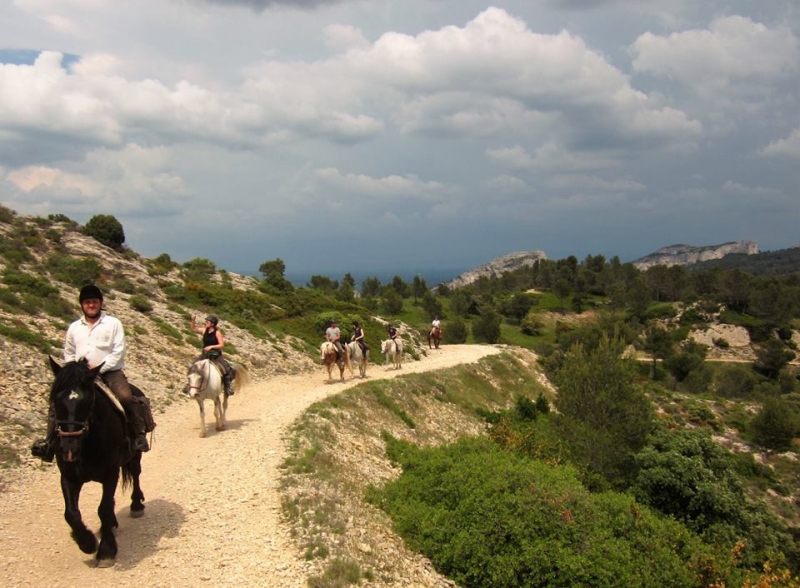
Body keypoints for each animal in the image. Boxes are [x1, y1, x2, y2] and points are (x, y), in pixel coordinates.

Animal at [47, 356, 146, 568]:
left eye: (88, 400)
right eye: (56, 400)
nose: (69, 449)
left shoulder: (111, 473)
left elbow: (104, 508)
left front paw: (106, 551)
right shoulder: (68, 476)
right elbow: (71, 513)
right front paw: (86, 542)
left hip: (134, 456)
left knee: (135, 474)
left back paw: (136, 506)